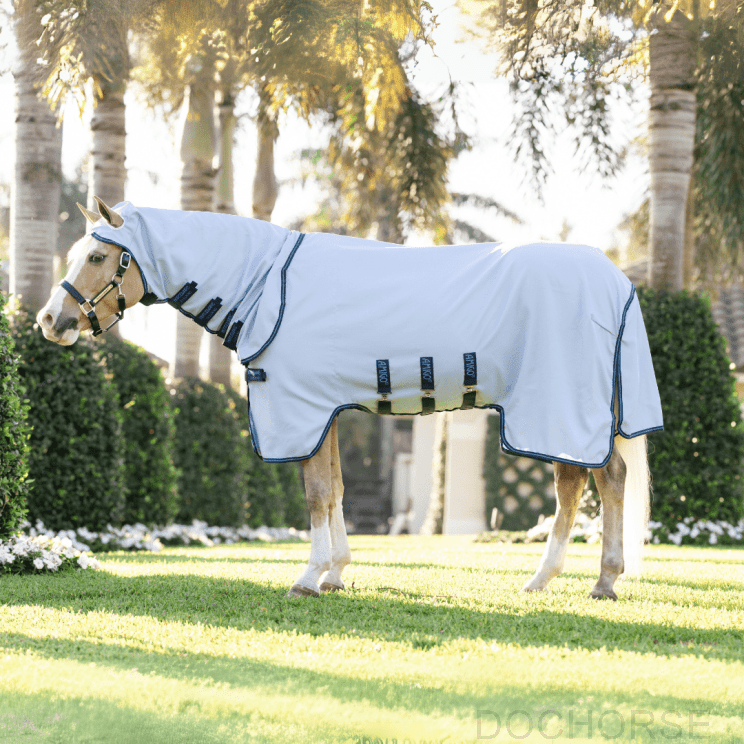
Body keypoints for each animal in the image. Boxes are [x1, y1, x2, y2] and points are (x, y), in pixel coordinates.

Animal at [37, 196, 663, 601]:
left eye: (96, 257)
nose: (50, 321)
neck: (268, 283)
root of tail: (616, 281)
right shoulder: (327, 411)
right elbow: (335, 489)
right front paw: (336, 573)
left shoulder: (303, 410)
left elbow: (316, 495)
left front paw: (308, 579)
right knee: (595, 482)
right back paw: (577, 581)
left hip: (556, 406)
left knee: (585, 484)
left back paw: (579, 580)